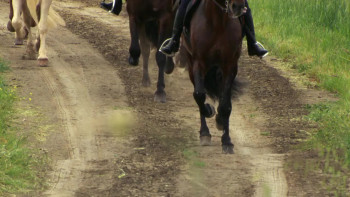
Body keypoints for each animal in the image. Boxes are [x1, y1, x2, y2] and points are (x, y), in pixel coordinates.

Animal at [183, 0, 246, 154]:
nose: (238, 7)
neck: (218, 22)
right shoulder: (198, 63)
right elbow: (199, 95)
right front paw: (209, 111)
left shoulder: (230, 66)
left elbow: (225, 105)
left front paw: (227, 140)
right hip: (191, 64)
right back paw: (204, 132)